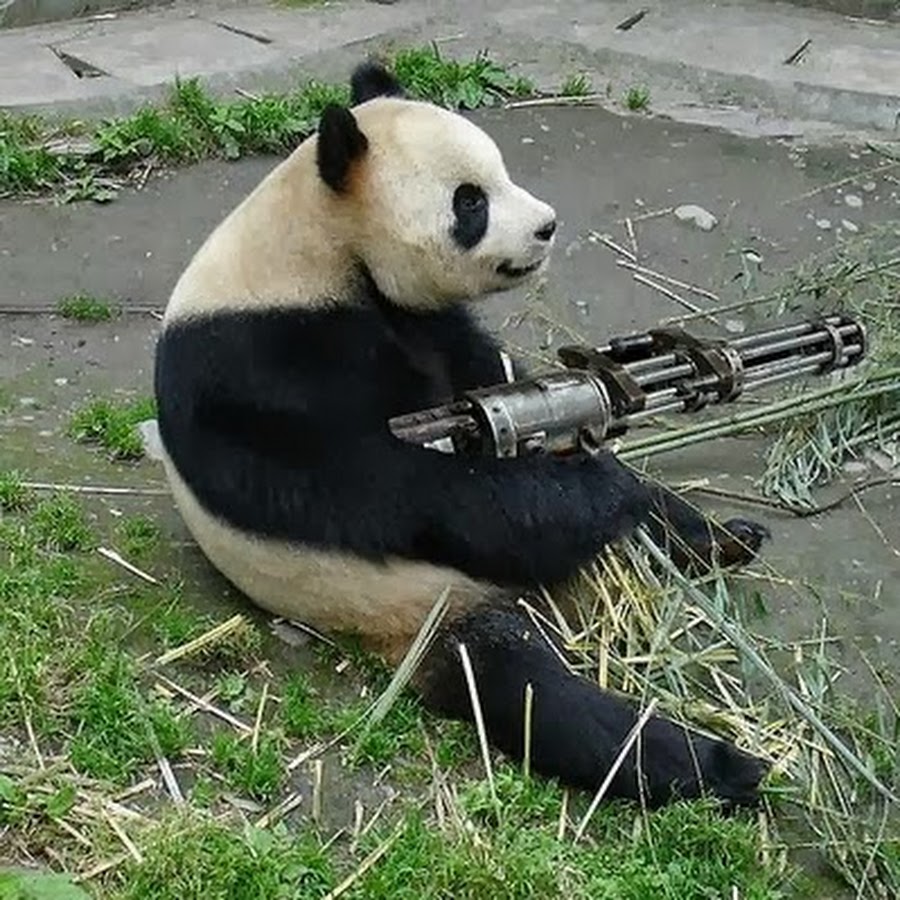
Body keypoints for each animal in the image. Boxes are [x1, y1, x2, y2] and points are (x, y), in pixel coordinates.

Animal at [154, 60, 770, 809]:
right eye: (470, 202)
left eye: (501, 173)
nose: (547, 226)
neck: (319, 247)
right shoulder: (256, 361)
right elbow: (378, 488)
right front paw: (580, 489)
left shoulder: (426, 326)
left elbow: (486, 377)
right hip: (416, 606)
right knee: (528, 689)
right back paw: (717, 764)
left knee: (647, 510)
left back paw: (723, 540)